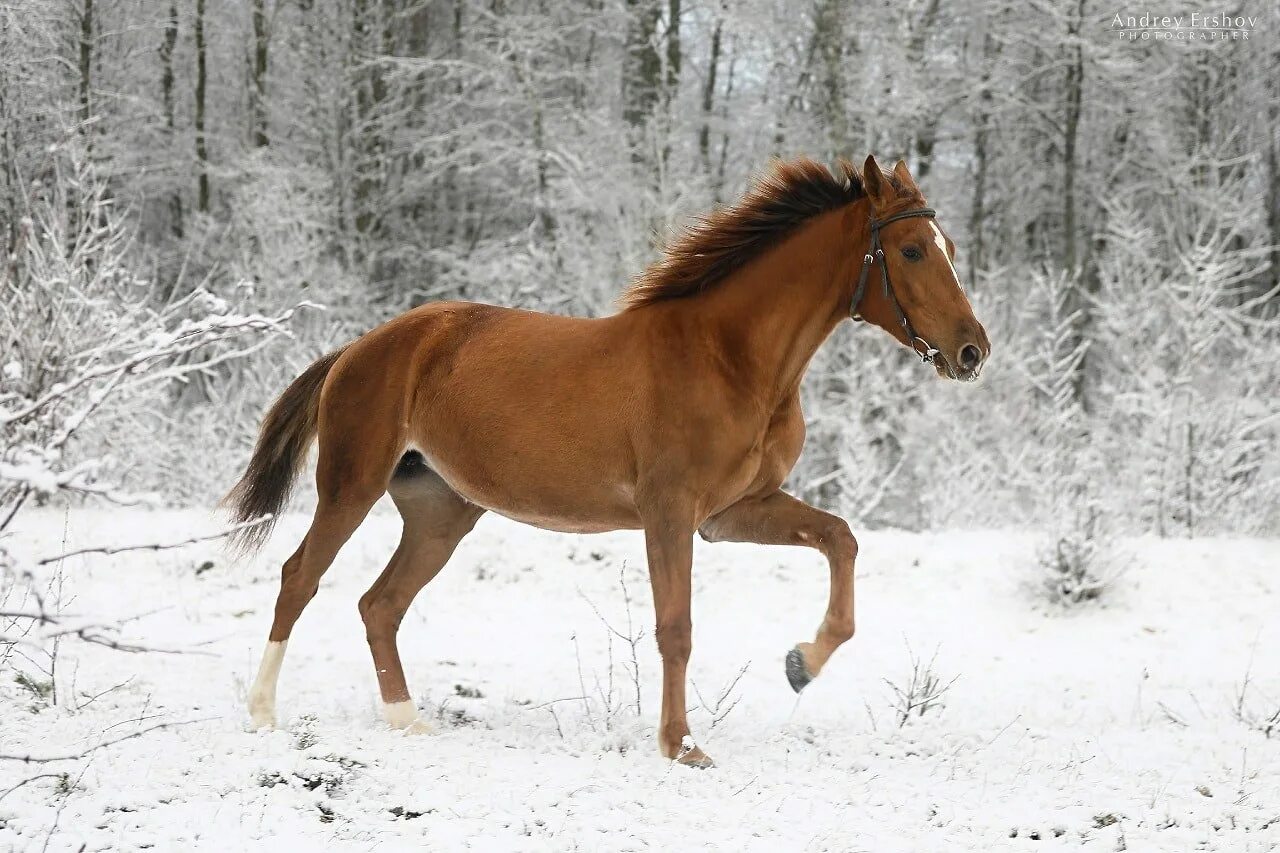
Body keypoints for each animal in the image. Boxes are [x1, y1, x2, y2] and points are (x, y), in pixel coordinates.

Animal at [227, 153, 988, 763]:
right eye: (913, 250)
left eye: (946, 244)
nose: (973, 350)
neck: (731, 359)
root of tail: (359, 348)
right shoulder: (670, 513)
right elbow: (676, 628)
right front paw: (682, 746)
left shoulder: (732, 513)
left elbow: (840, 538)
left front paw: (802, 663)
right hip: (350, 487)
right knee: (300, 578)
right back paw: (262, 714)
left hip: (440, 513)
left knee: (379, 604)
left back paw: (408, 722)